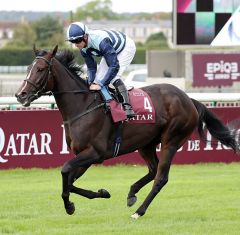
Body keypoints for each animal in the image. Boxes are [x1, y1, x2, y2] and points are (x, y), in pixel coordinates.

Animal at [15, 45, 240, 218]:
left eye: (40, 69)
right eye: (28, 68)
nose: (20, 94)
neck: (83, 106)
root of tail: (189, 99)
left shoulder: (94, 153)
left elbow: (64, 171)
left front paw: (70, 205)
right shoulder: (84, 155)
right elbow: (69, 182)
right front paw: (100, 193)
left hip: (172, 139)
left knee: (161, 177)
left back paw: (139, 211)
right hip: (146, 144)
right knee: (153, 170)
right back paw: (132, 193)